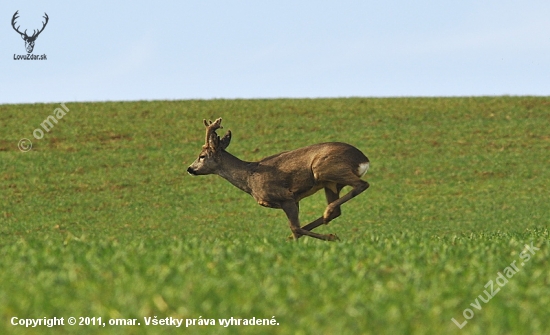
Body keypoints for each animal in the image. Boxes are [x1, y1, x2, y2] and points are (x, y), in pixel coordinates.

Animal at [188, 118, 374, 242]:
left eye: (201, 156)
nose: (189, 169)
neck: (249, 178)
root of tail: (363, 160)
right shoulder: (295, 199)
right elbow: (296, 229)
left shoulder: (285, 196)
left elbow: (295, 227)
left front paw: (331, 236)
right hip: (331, 184)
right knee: (338, 209)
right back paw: (325, 217)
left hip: (325, 170)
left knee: (362, 184)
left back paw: (327, 215)